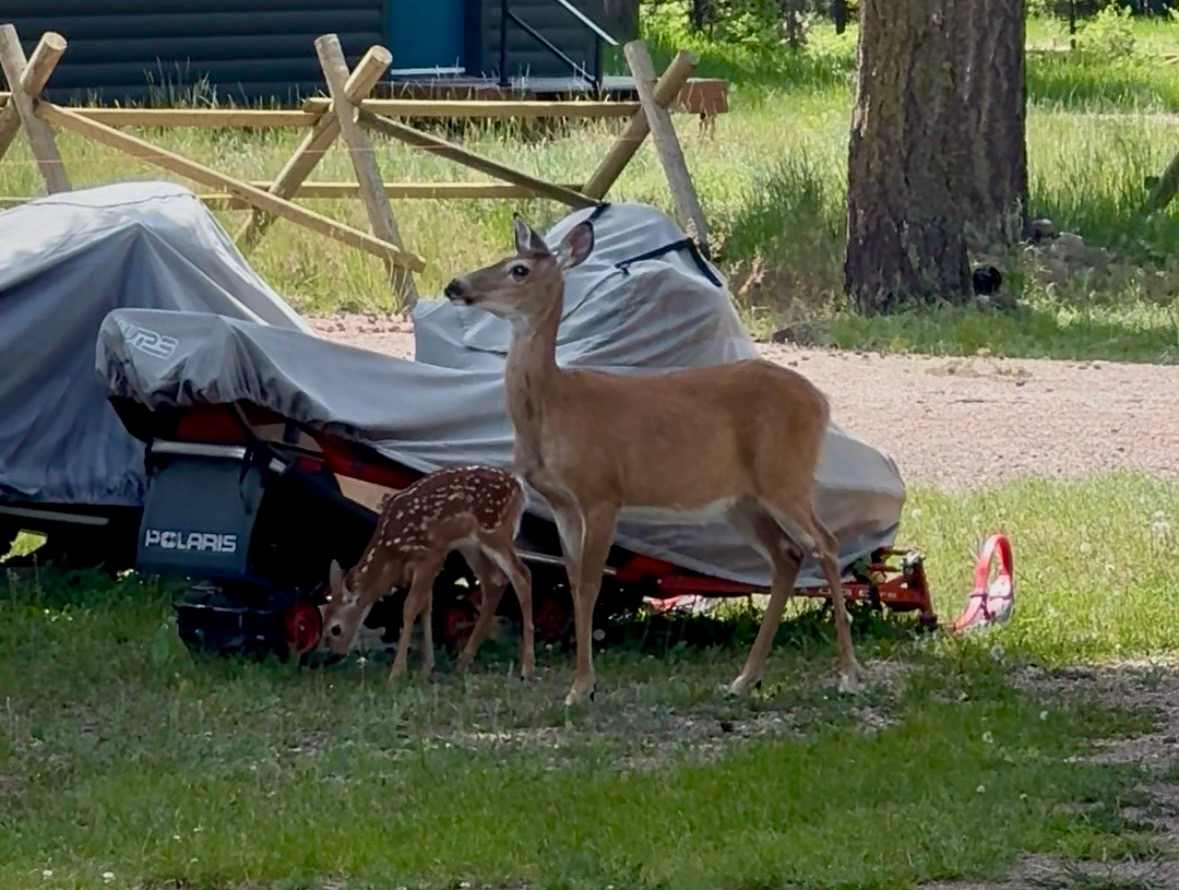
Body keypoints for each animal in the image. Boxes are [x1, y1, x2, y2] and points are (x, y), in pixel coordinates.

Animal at [320, 465, 534, 684]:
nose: (332, 657)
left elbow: (410, 607)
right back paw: (462, 663)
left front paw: (397, 673)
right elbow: (426, 606)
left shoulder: (431, 556)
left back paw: (527, 669)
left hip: (494, 531)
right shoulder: (425, 564)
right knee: (494, 581)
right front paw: (427, 668)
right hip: (471, 546)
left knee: (522, 575)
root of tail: (518, 487)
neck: (392, 554)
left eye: (335, 629)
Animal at [442, 216, 865, 707]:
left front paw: (582, 686)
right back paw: (744, 679)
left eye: (519, 270)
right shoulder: (560, 501)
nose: (455, 286)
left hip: (785, 476)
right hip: (741, 501)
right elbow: (573, 581)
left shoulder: (602, 492)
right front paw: (580, 683)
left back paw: (848, 674)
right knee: (788, 556)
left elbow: (590, 584)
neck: (555, 406)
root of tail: (822, 401)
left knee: (827, 545)